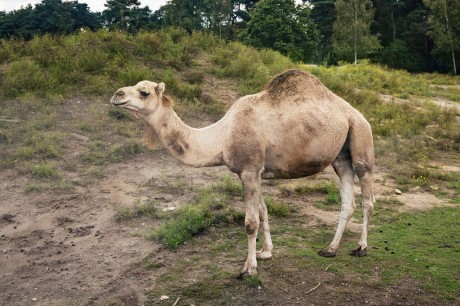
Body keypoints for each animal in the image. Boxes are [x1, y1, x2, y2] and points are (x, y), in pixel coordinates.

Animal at [110, 68, 374, 274]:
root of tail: (356, 114)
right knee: (347, 200)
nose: (117, 94)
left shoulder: (249, 169)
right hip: (340, 156)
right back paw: (330, 249)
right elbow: (263, 212)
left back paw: (361, 247)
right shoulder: (252, 171)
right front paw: (266, 252)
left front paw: (249, 267)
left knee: (367, 198)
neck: (222, 137)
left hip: (362, 140)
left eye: (144, 92)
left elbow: (250, 222)